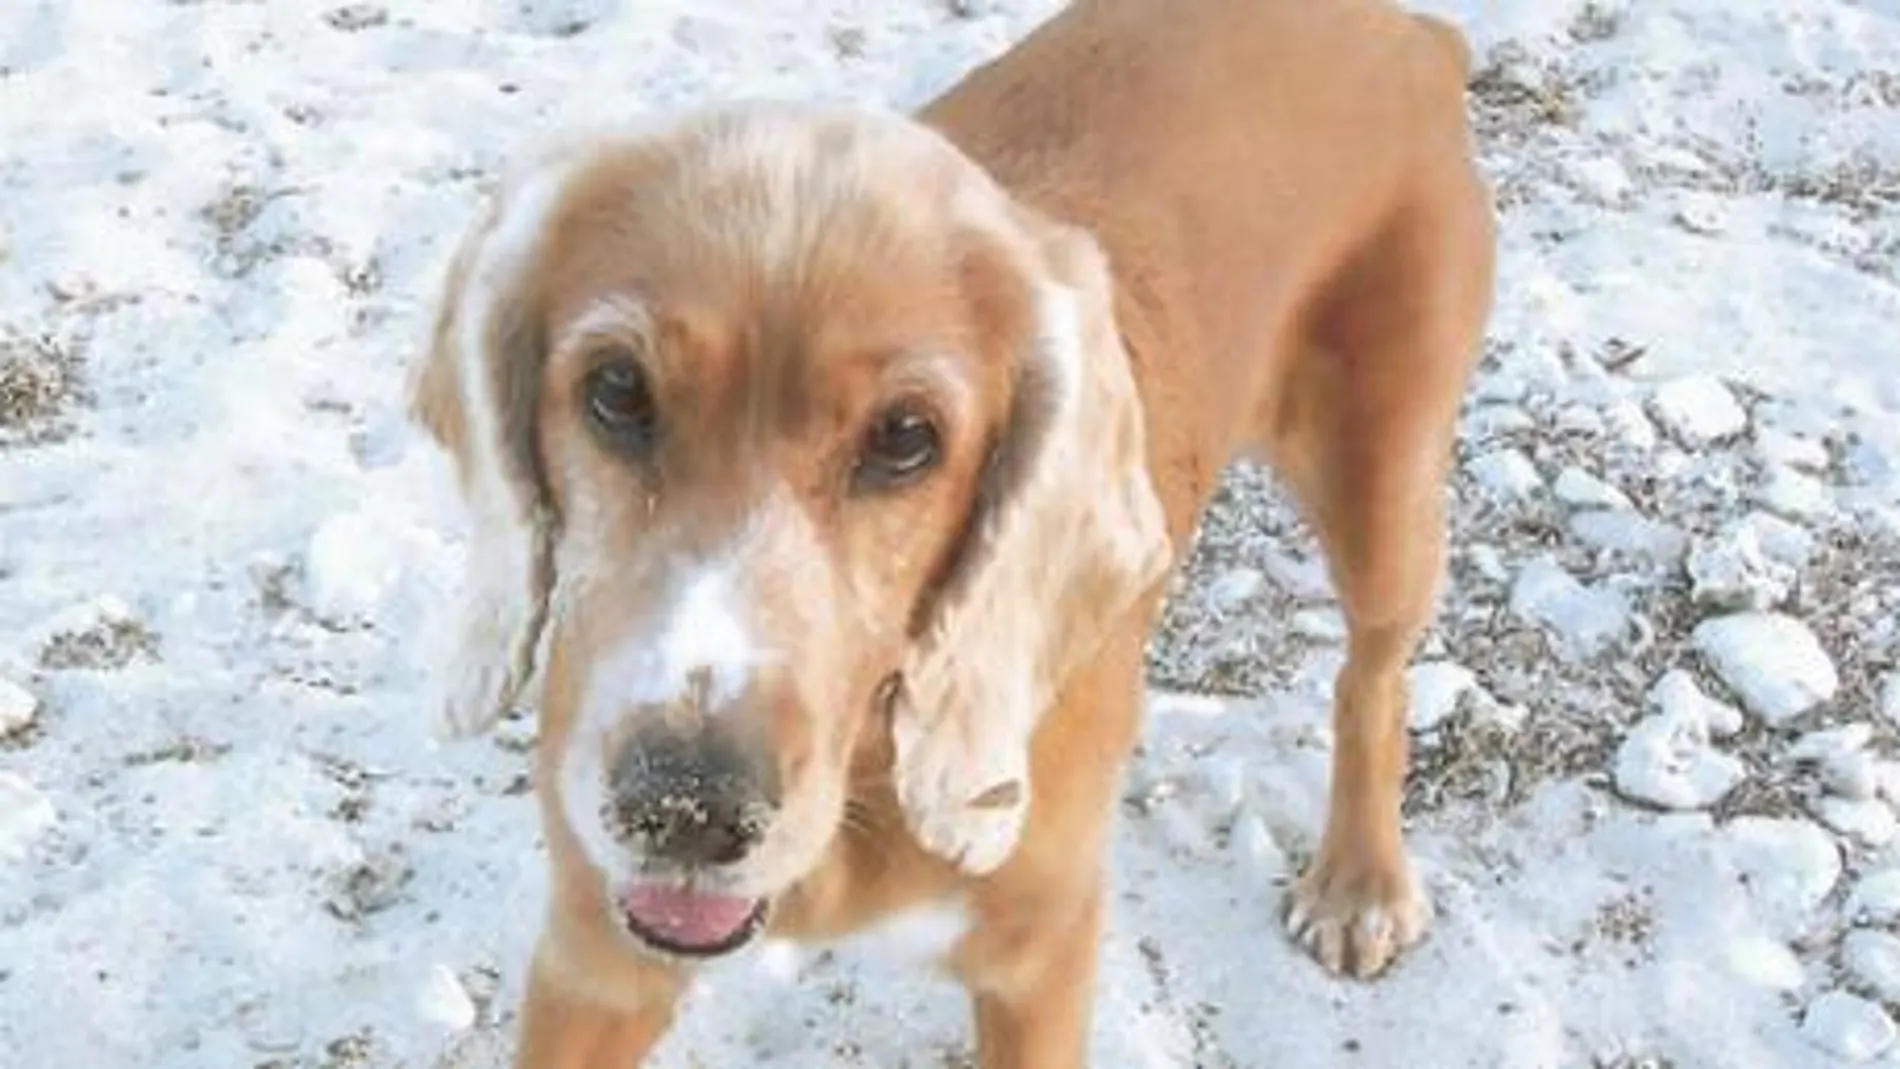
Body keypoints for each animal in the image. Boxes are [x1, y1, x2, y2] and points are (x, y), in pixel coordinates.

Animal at [404, 0, 1497, 1063]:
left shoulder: (1040, 963)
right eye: (617, 390)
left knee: (1372, 681)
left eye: (905, 438)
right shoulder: (595, 959)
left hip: (1385, 492)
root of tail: (1410, 31)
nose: (685, 810)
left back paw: (1360, 881)